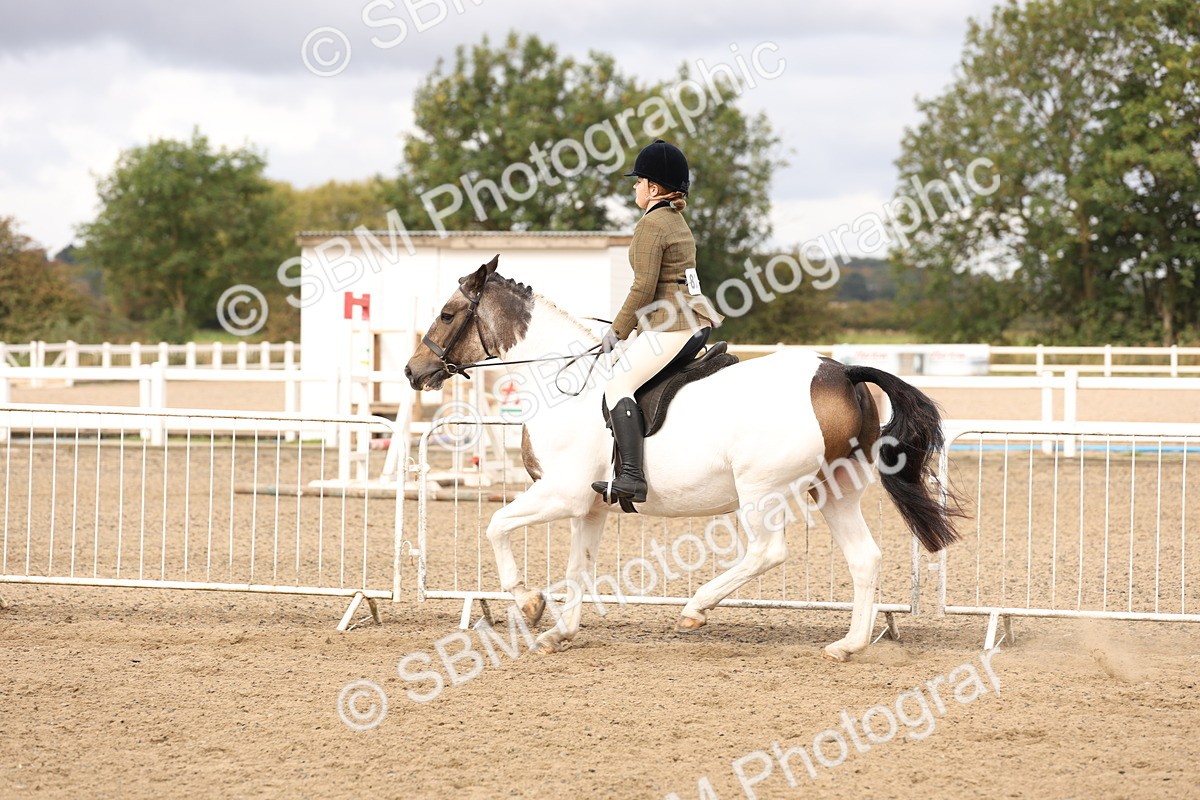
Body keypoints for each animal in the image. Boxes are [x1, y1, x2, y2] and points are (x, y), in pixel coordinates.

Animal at [404, 255, 961, 660]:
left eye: (448, 313)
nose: (413, 371)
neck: (561, 380)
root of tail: (839, 371)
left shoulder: (561, 493)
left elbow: (496, 525)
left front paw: (529, 602)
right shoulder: (589, 506)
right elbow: (579, 566)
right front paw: (559, 632)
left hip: (761, 489)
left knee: (767, 552)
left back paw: (696, 607)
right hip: (834, 488)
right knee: (864, 557)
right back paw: (848, 645)